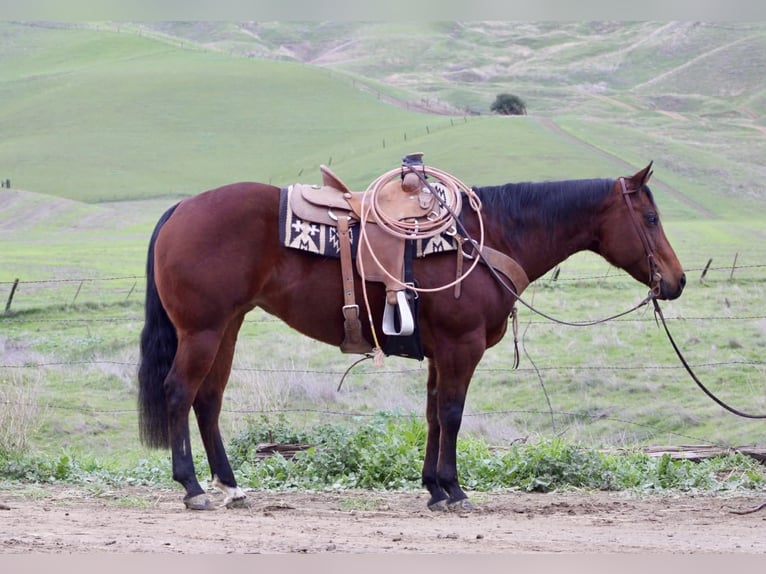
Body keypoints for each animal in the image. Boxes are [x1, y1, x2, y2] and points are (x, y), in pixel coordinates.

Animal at [138, 162, 686, 510]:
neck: (484, 238)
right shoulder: (462, 347)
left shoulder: (441, 352)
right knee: (179, 392)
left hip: (227, 326)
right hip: (202, 330)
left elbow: (433, 414)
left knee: (208, 400)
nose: (677, 281)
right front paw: (454, 490)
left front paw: (433, 489)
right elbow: (453, 414)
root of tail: (181, 209)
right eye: (651, 218)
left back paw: (230, 486)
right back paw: (193, 488)